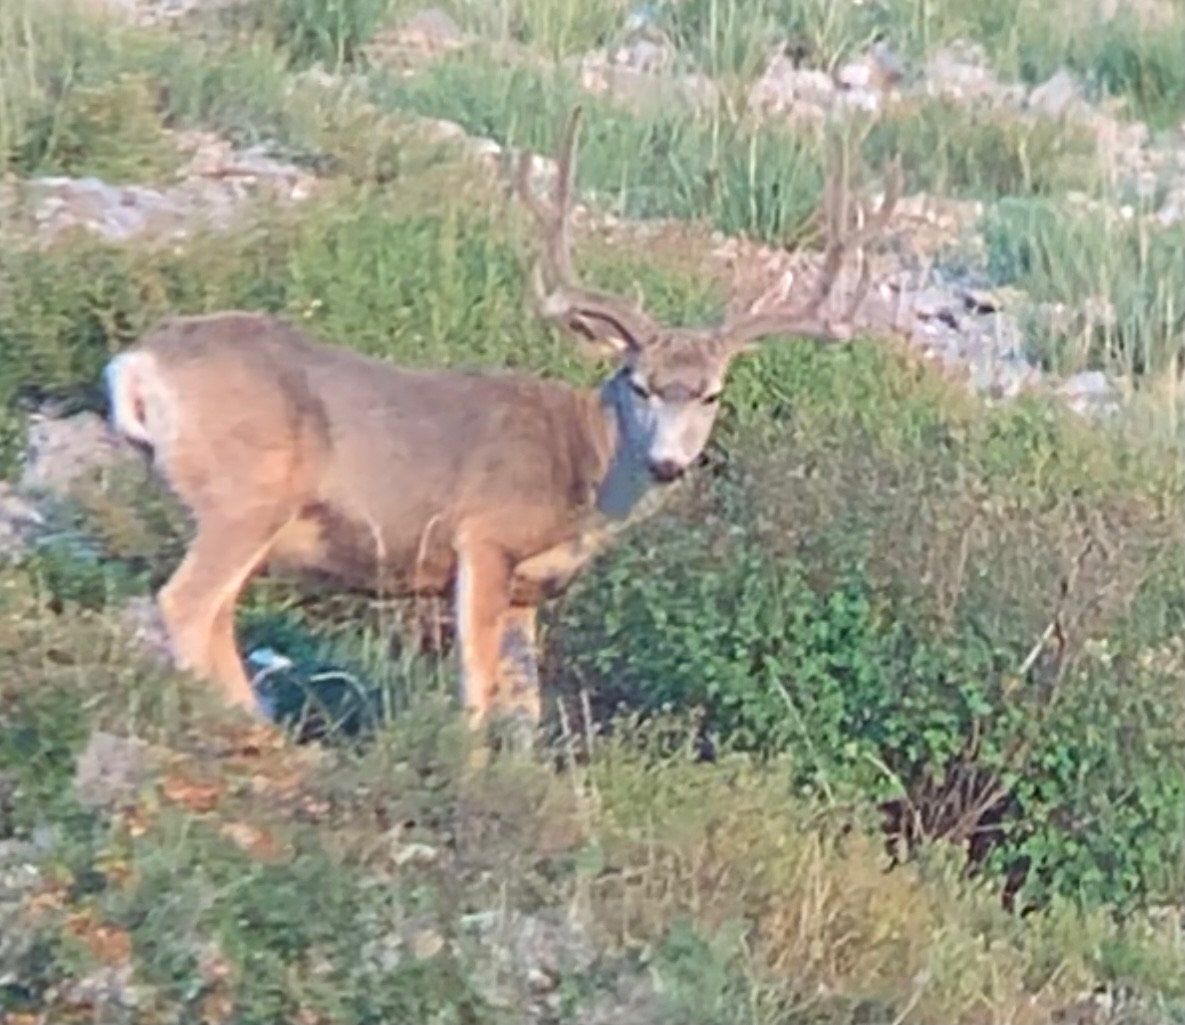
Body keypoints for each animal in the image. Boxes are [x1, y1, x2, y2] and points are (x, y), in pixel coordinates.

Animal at [103, 107, 899, 740]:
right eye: (637, 383)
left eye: (711, 395)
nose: (669, 462)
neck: (582, 475)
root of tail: (138, 362)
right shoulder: (483, 540)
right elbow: (477, 695)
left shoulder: (529, 591)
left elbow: (525, 711)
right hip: (248, 496)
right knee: (186, 603)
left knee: (216, 614)